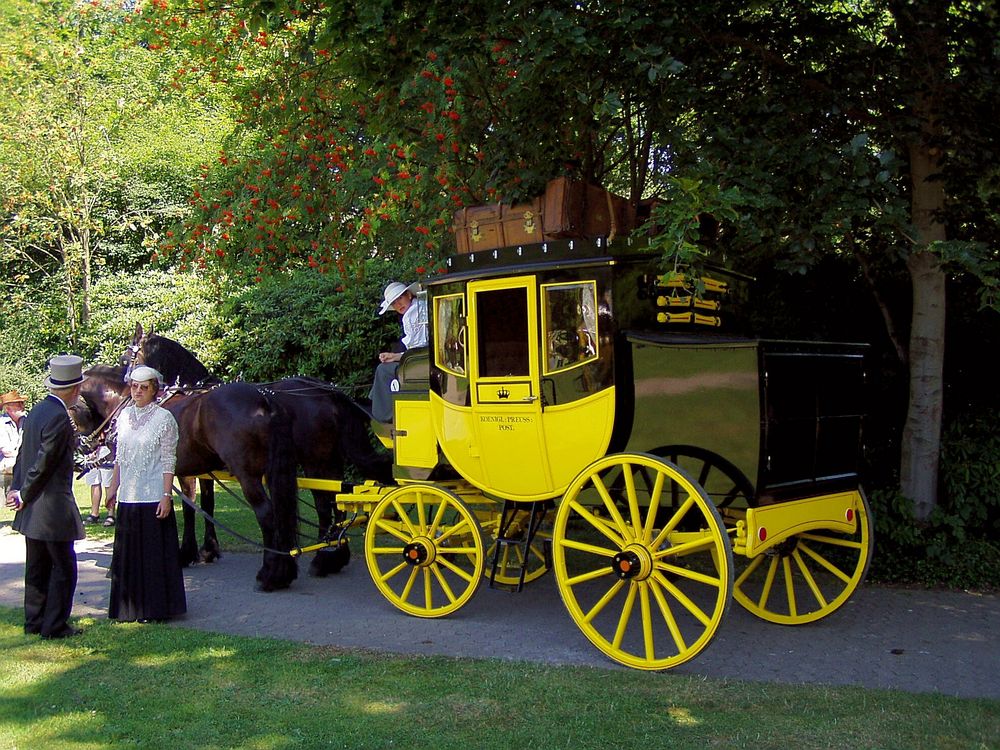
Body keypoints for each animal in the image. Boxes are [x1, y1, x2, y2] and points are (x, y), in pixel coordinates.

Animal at [71, 370, 300, 592]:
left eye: (71, 407)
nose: (80, 448)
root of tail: (264, 400)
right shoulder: (193, 471)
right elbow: (199, 506)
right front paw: (199, 552)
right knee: (282, 511)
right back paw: (285, 572)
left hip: (248, 475)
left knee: (267, 514)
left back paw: (269, 575)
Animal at [123, 324, 392, 576]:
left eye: (126, 358)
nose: (130, 389)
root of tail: (328, 391)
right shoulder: (204, 468)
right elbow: (207, 503)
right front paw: (208, 549)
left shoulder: (187, 468)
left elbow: (191, 506)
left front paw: (189, 552)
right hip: (330, 459)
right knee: (336, 502)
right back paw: (332, 556)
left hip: (315, 461)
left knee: (323, 505)